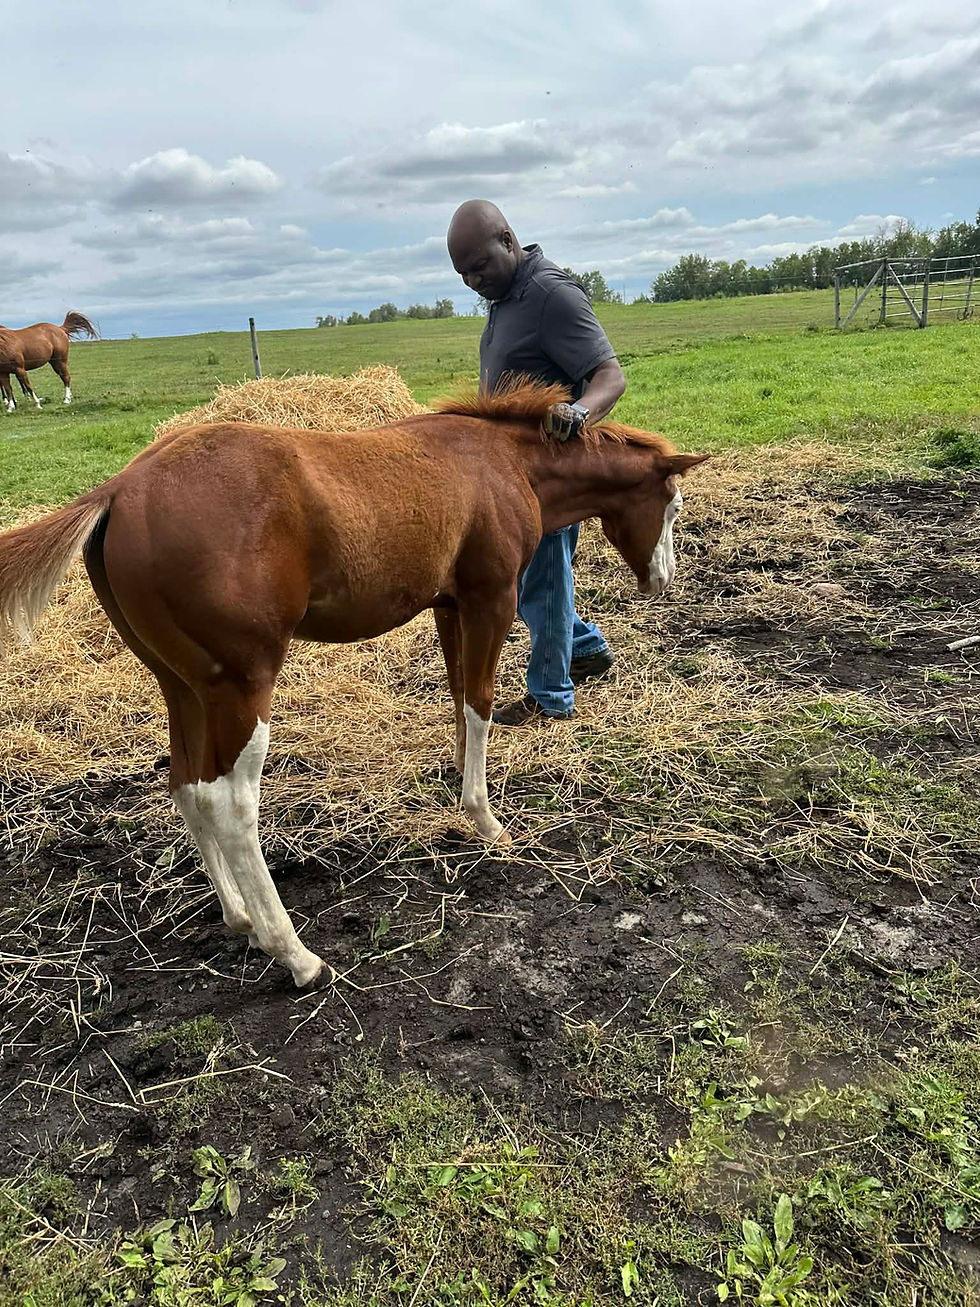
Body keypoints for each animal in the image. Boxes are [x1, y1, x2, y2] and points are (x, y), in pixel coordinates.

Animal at [0, 379, 708, 988]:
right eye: (672, 503)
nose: (664, 579)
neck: (501, 460)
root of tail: (120, 489)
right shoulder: (491, 598)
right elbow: (479, 704)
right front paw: (487, 821)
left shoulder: (449, 605)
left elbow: (459, 701)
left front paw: (460, 793)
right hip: (241, 686)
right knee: (231, 805)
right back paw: (294, 952)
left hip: (184, 687)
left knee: (188, 788)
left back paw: (240, 919)